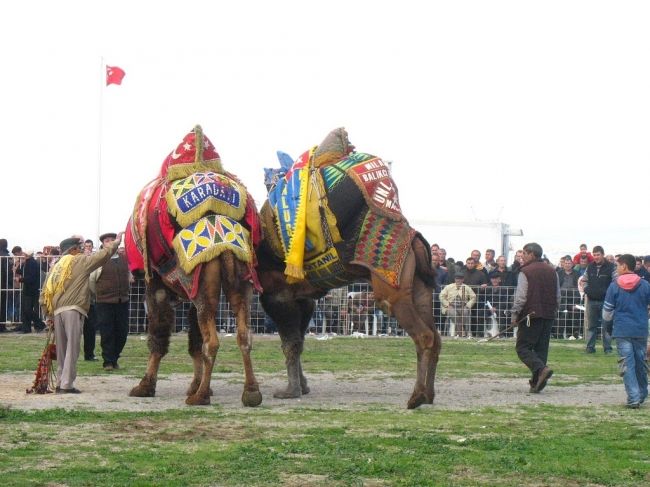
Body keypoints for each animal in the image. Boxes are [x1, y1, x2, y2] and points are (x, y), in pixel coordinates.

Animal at [124, 125, 260, 408]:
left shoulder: (158, 286)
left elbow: (158, 337)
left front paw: (145, 386)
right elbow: (193, 341)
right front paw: (195, 384)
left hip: (200, 279)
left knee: (212, 341)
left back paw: (199, 397)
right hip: (239, 276)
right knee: (243, 335)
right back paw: (251, 392)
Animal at [256, 127, 438, 410]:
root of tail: (414, 239)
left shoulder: (277, 296)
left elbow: (290, 343)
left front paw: (290, 390)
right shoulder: (303, 298)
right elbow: (299, 342)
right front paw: (302, 386)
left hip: (391, 289)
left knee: (423, 336)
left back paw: (416, 397)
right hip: (419, 287)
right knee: (435, 337)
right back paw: (428, 395)